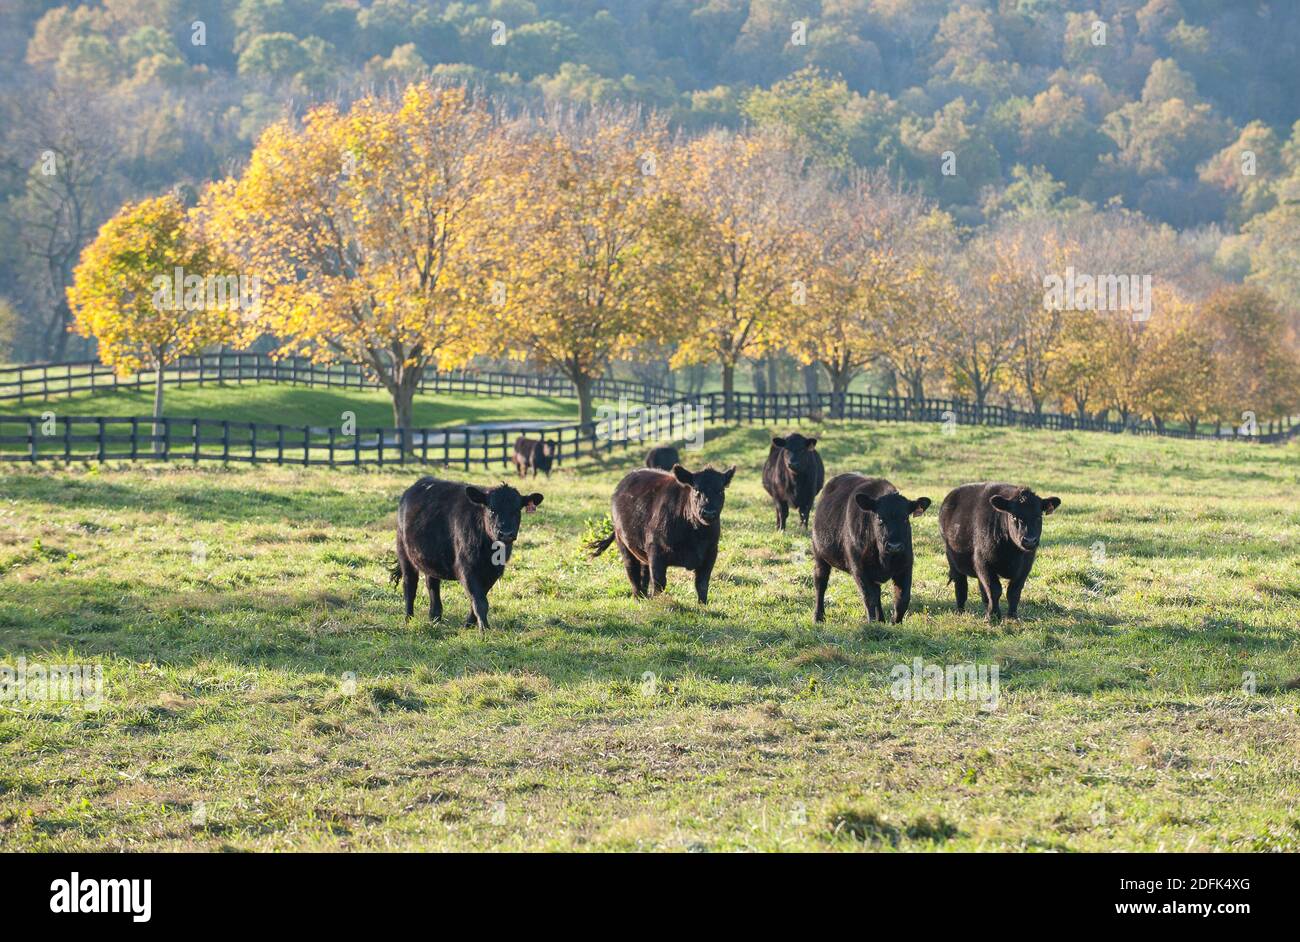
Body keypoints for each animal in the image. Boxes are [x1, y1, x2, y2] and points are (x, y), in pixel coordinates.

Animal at [390, 472, 543, 628]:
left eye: (517, 510)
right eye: (491, 509)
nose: (505, 534)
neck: (489, 553)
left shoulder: (494, 571)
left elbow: (480, 598)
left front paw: (469, 624)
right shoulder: (466, 568)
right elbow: (480, 601)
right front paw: (484, 628)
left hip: (430, 557)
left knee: (432, 584)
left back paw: (435, 618)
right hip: (404, 553)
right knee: (410, 585)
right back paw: (409, 619)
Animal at [587, 462, 733, 602]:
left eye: (720, 491)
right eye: (696, 489)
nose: (709, 513)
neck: (696, 534)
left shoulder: (711, 553)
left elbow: (702, 584)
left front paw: (702, 605)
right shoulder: (656, 552)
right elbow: (659, 583)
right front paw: (658, 604)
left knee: (644, 573)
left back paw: (644, 598)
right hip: (623, 543)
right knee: (632, 573)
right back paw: (638, 599)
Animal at [806, 470, 930, 623]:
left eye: (905, 518)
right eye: (880, 518)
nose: (894, 546)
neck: (884, 559)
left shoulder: (905, 566)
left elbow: (902, 599)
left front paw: (895, 623)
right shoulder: (859, 568)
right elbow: (869, 598)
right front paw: (872, 623)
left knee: (878, 592)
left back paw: (881, 619)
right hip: (819, 554)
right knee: (820, 582)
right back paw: (818, 617)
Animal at [941, 480, 1060, 621]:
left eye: (1039, 516)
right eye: (1013, 516)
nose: (1030, 540)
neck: (1013, 553)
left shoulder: (1025, 566)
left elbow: (1014, 591)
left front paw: (1012, 616)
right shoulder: (983, 561)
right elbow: (994, 589)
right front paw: (993, 616)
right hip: (953, 559)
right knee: (961, 586)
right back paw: (961, 611)